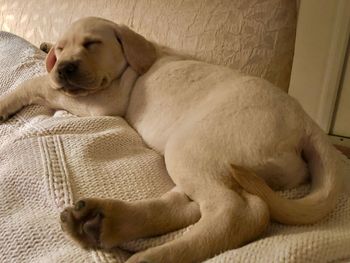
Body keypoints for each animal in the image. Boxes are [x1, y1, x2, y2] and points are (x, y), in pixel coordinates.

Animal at [0, 17, 342, 263]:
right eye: (61, 48)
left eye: (92, 43)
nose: (64, 67)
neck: (136, 61)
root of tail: (307, 123)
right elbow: (46, 81)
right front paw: (45, 48)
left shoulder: (102, 103)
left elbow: (39, 83)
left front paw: (6, 102)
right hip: (210, 160)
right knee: (190, 207)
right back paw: (101, 222)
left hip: (190, 147)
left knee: (239, 211)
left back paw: (152, 255)